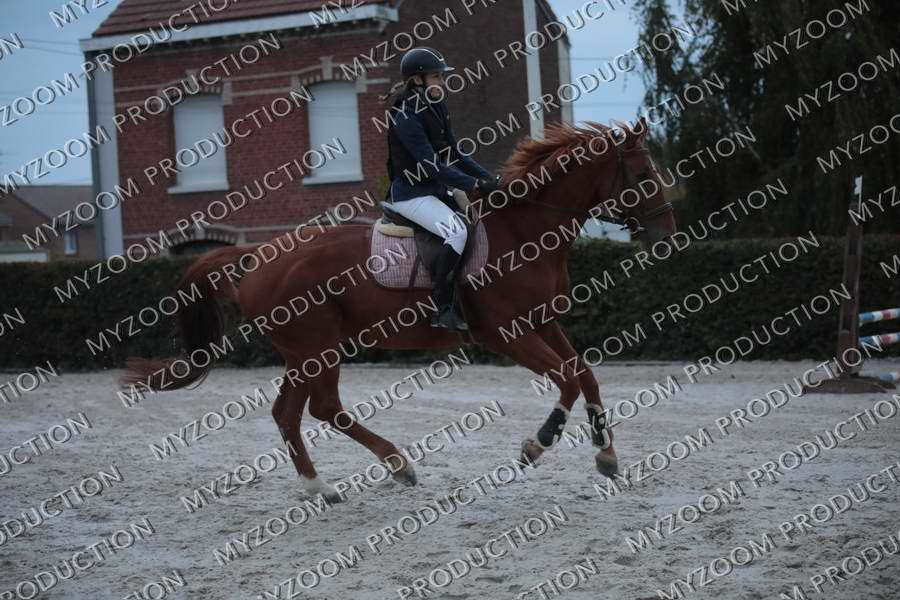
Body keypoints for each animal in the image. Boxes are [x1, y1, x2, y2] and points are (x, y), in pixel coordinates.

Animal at [121, 119, 677, 501]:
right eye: (642, 173)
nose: (667, 237)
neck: (525, 230)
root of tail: (261, 255)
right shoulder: (506, 333)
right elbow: (565, 378)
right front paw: (539, 443)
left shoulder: (544, 321)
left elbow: (584, 373)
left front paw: (606, 453)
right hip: (315, 347)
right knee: (316, 409)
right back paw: (371, 472)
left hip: (306, 352)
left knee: (296, 412)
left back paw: (337, 482)